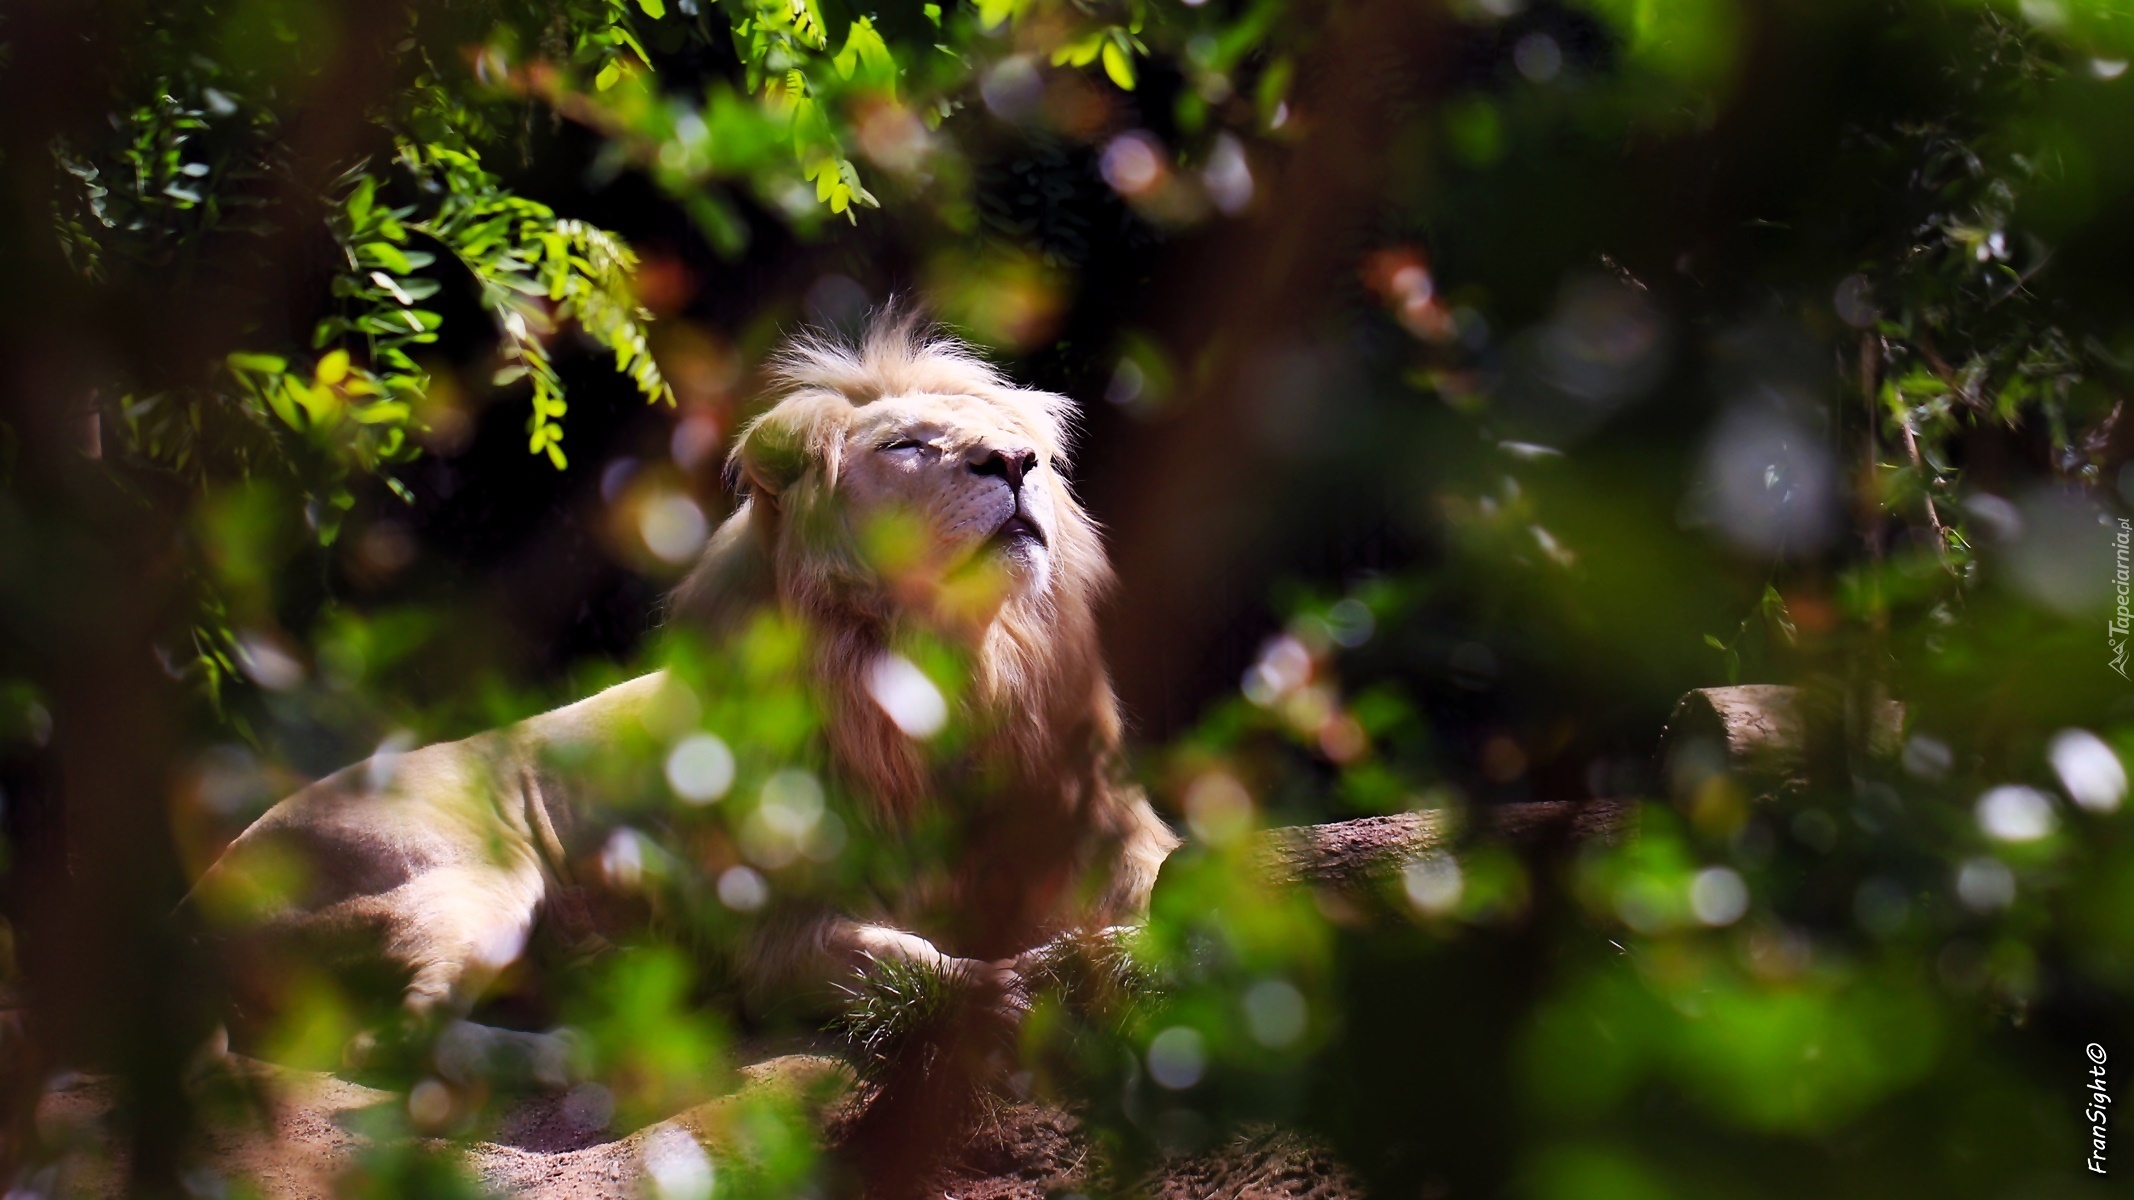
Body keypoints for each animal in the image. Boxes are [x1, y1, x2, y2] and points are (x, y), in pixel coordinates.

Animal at [187, 313, 1186, 1080]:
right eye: (907, 446)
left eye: (1027, 450)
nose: (1014, 462)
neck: (954, 665)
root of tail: (196, 902)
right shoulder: (771, 931)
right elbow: (896, 959)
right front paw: (1013, 988)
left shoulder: (1102, 824)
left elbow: (1159, 878)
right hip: (473, 877)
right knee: (382, 1044)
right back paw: (577, 1048)